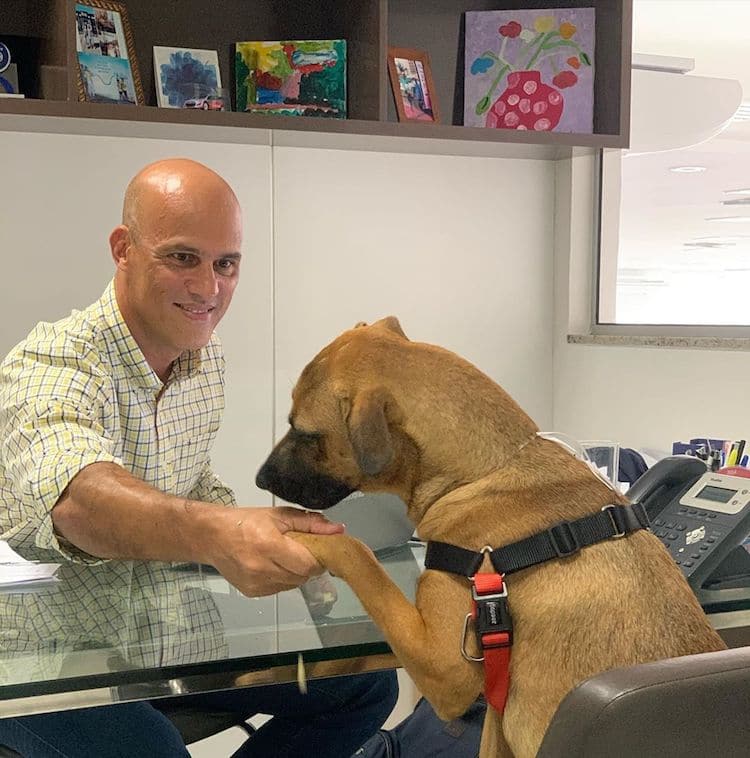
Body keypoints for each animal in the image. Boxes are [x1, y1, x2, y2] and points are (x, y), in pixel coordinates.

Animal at [256, 318, 724, 756]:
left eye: (306, 432)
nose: (260, 480)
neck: (487, 470)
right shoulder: (494, 715)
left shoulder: (442, 666)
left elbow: (360, 556)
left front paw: (299, 534)